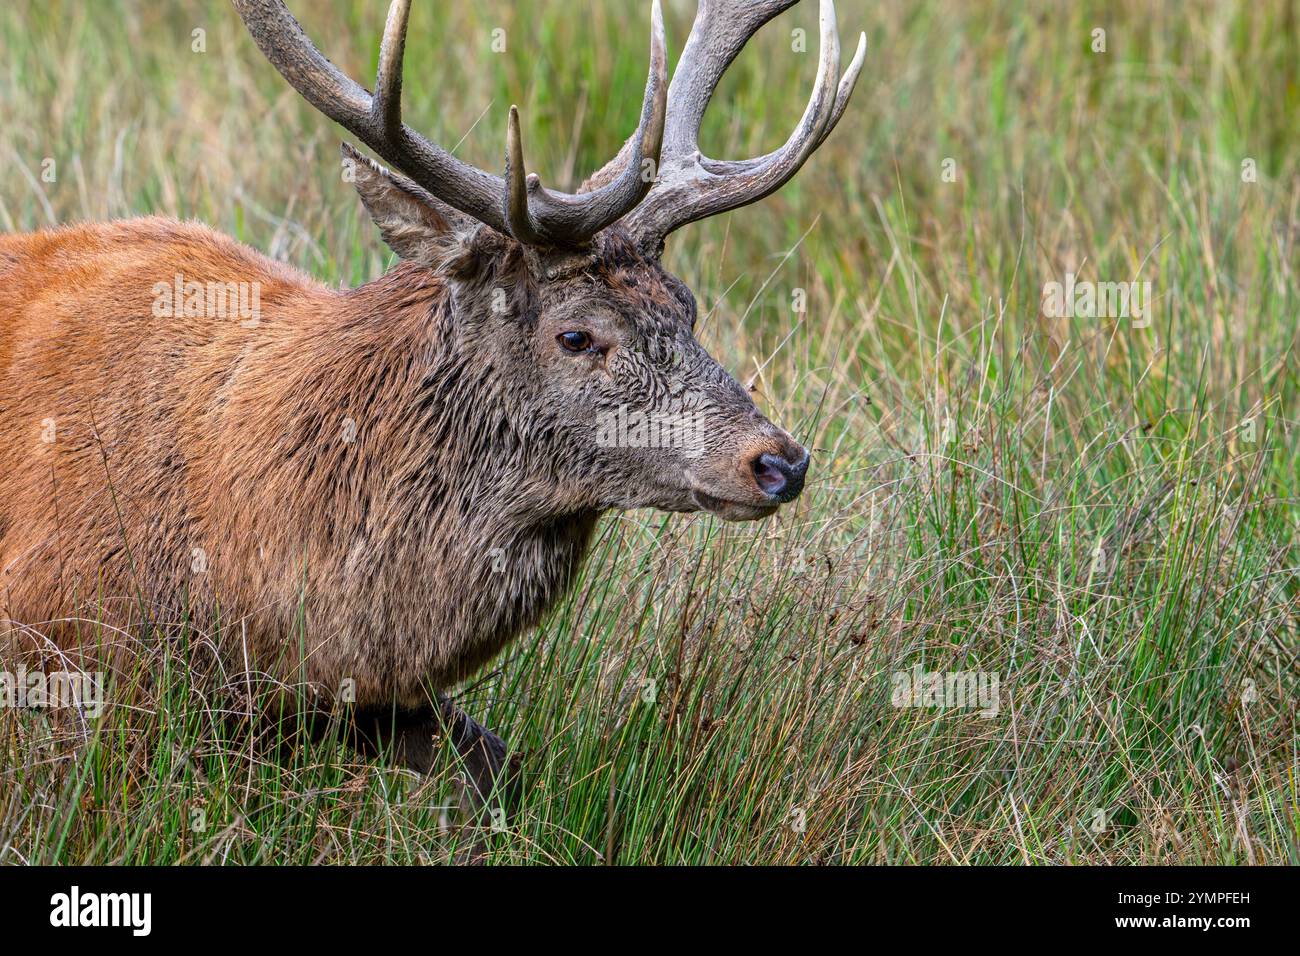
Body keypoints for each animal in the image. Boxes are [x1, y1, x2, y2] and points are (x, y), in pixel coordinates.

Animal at [0, 0, 864, 812]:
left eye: (687, 306)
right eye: (577, 335)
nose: (779, 460)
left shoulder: (352, 698)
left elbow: (498, 770)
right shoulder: (66, 655)